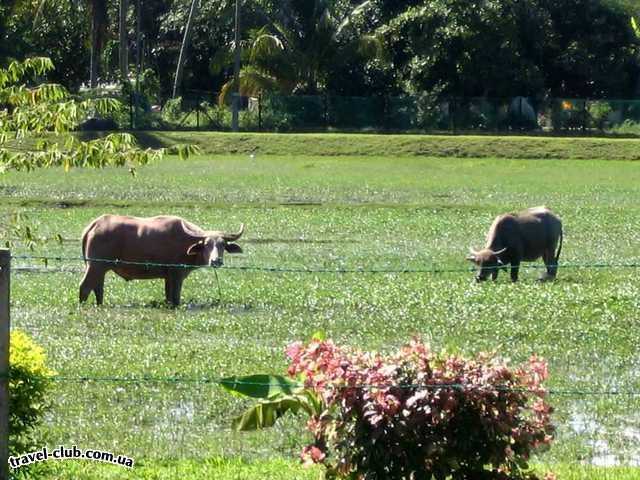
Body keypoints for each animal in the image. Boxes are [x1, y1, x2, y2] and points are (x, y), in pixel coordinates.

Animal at [77, 215, 242, 306]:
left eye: (222, 245)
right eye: (206, 244)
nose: (216, 261)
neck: (186, 243)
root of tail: (94, 225)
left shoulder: (168, 277)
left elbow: (168, 297)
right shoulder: (177, 274)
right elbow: (175, 298)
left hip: (100, 268)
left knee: (98, 288)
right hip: (95, 266)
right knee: (85, 287)